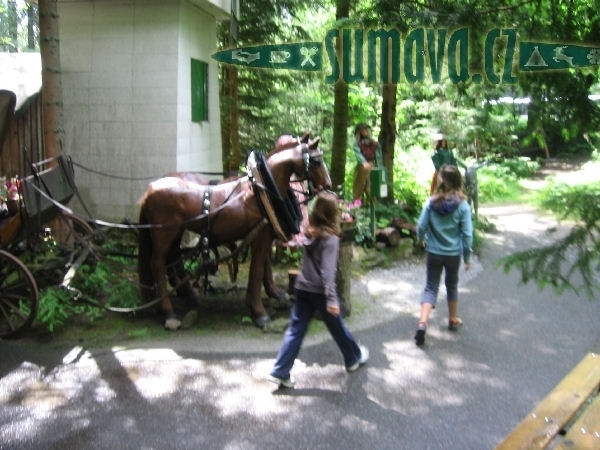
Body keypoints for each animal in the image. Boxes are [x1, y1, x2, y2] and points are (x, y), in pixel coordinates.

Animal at [138, 135, 330, 328]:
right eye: (315, 161)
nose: (328, 185)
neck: (261, 190)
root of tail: (149, 190)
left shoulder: (266, 234)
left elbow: (263, 267)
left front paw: (270, 296)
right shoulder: (261, 236)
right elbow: (257, 270)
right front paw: (259, 311)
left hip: (177, 232)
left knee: (173, 257)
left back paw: (187, 297)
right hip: (164, 232)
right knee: (157, 262)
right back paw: (168, 311)